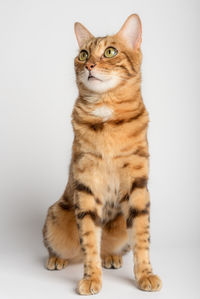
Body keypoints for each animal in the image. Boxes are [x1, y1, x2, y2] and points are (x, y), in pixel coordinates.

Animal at [43, 13, 162, 296]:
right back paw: (58, 259)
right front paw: (91, 278)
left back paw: (111, 256)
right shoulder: (86, 184)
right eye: (83, 54)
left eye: (110, 51)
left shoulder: (138, 185)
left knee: (113, 245)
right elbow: (88, 241)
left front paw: (145, 275)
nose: (89, 65)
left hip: (119, 224)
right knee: (67, 249)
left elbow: (142, 237)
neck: (106, 111)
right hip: (55, 216)